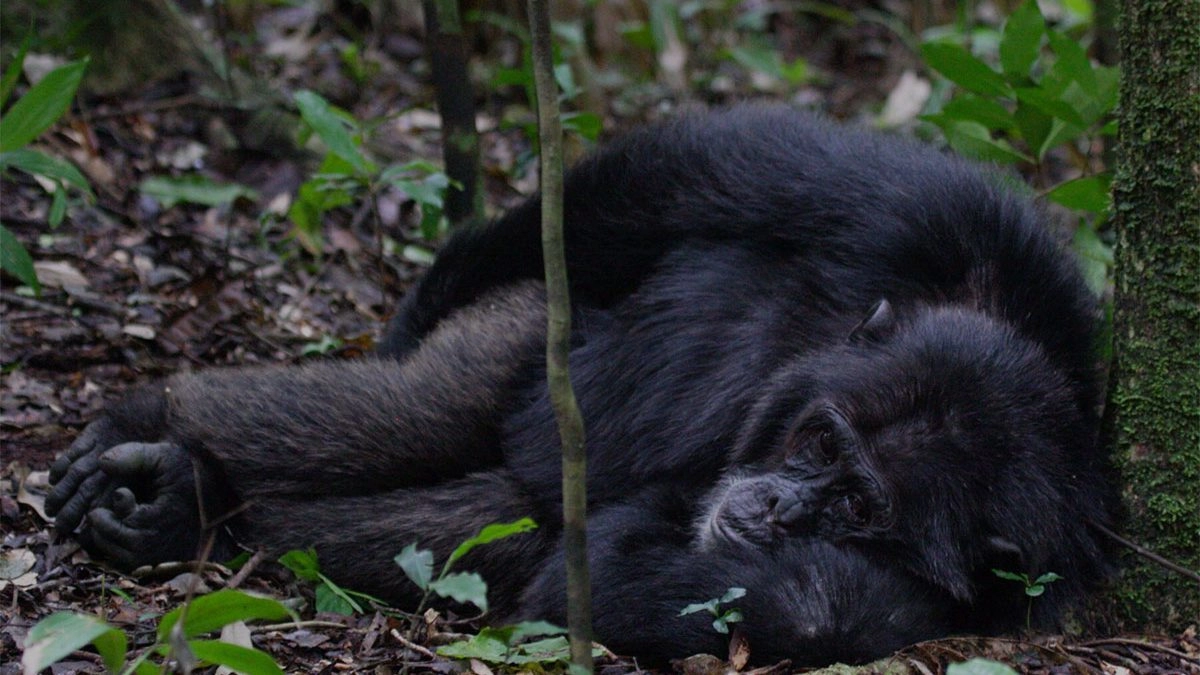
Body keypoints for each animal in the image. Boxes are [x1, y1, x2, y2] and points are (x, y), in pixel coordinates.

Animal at [47, 104, 1116, 665]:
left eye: (857, 504)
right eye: (819, 442)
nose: (779, 504)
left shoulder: (941, 605)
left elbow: (638, 576)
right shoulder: (915, 207)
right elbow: (664, 183)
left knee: (453, 513)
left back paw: (193, 512)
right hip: (530, 339)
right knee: (406, 407)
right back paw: (159, 436)